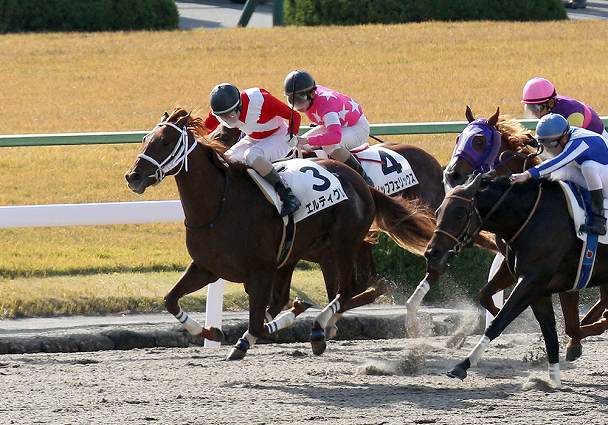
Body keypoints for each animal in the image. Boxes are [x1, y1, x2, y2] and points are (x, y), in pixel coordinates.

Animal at [126, 107, 434, 360]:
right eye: (145, 139)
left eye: (165, 142)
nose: (133, 177)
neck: (219, 205)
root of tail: (360, 180)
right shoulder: (207, 267)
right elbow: (170, 299)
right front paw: (211, 332)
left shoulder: (261, 271)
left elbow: (258, 323)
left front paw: (255, 334)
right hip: (307, 253)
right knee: (358, 287)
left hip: (342, 247)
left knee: (348, 290)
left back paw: (320, 327)